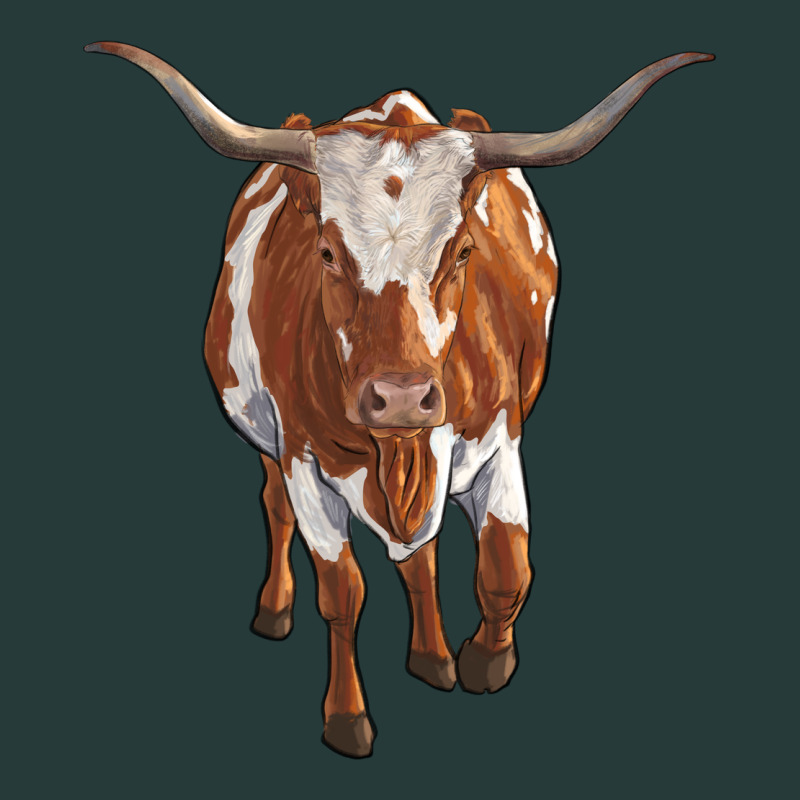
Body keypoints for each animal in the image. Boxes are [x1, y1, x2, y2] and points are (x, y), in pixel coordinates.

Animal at [85, 42, 713, 758]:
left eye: (463, 251)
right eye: (327, 252)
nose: (403, 398)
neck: (397, 455)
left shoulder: (499, 441)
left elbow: (506, 568)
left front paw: (481, 661)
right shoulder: (304, 463)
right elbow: (342, 593)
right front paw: (347, 718)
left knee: (421, 556)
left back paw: (432, 657)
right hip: (265, 440)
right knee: (275, 507)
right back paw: (275, 610)